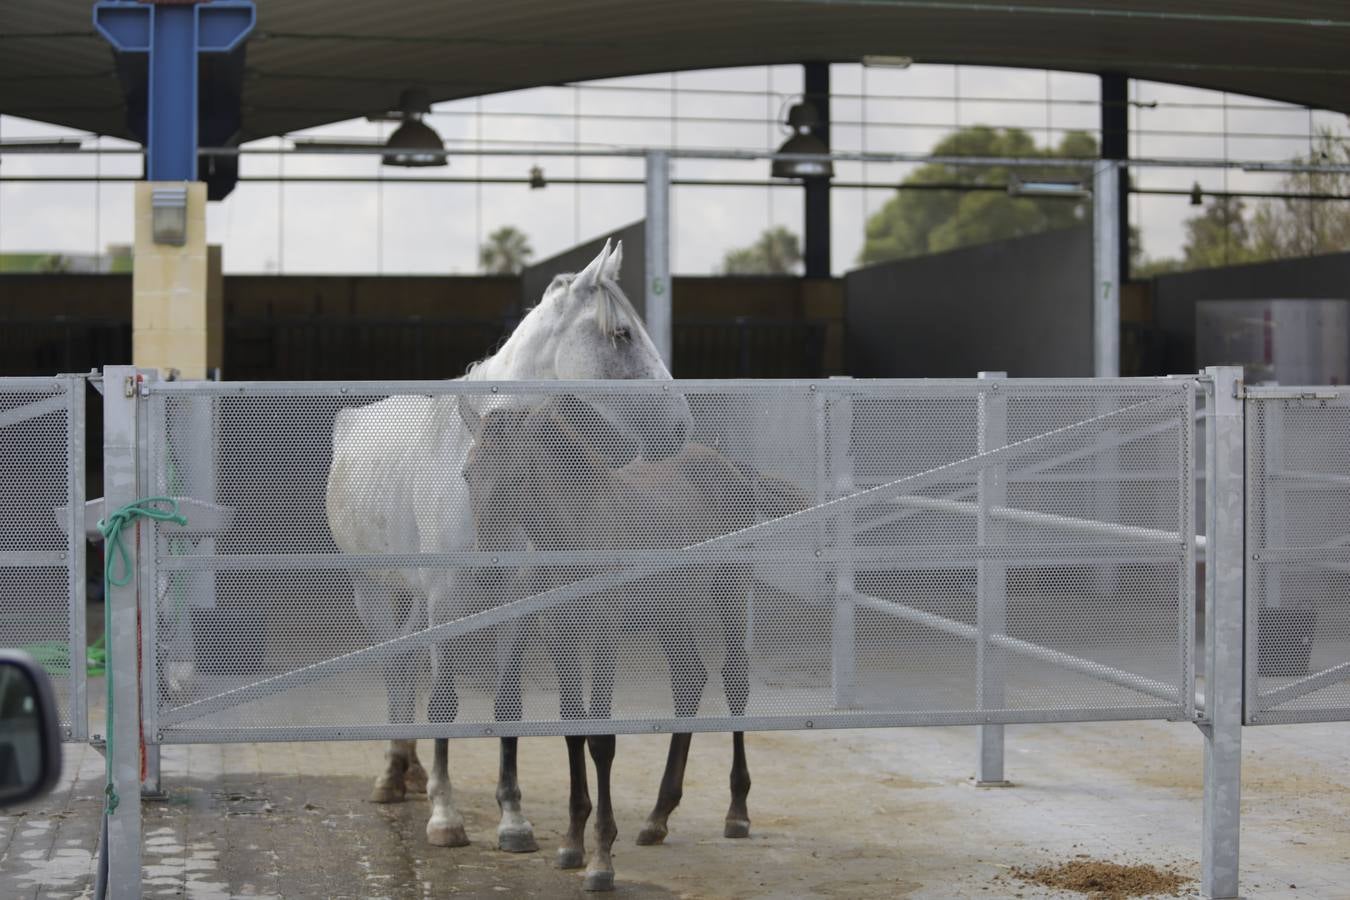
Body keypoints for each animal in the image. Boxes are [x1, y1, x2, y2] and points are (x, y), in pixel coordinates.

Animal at [321, 238, 691, 858]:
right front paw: (446, 818)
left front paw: (513, 821)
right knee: (395, 668)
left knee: (406, 667)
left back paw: (410, 772)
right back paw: (392, 776)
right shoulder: (445, 602)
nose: (681, 428)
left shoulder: (518, 602)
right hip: (372, 590)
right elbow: (443, 704)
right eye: (621, 334)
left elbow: (507, 706)